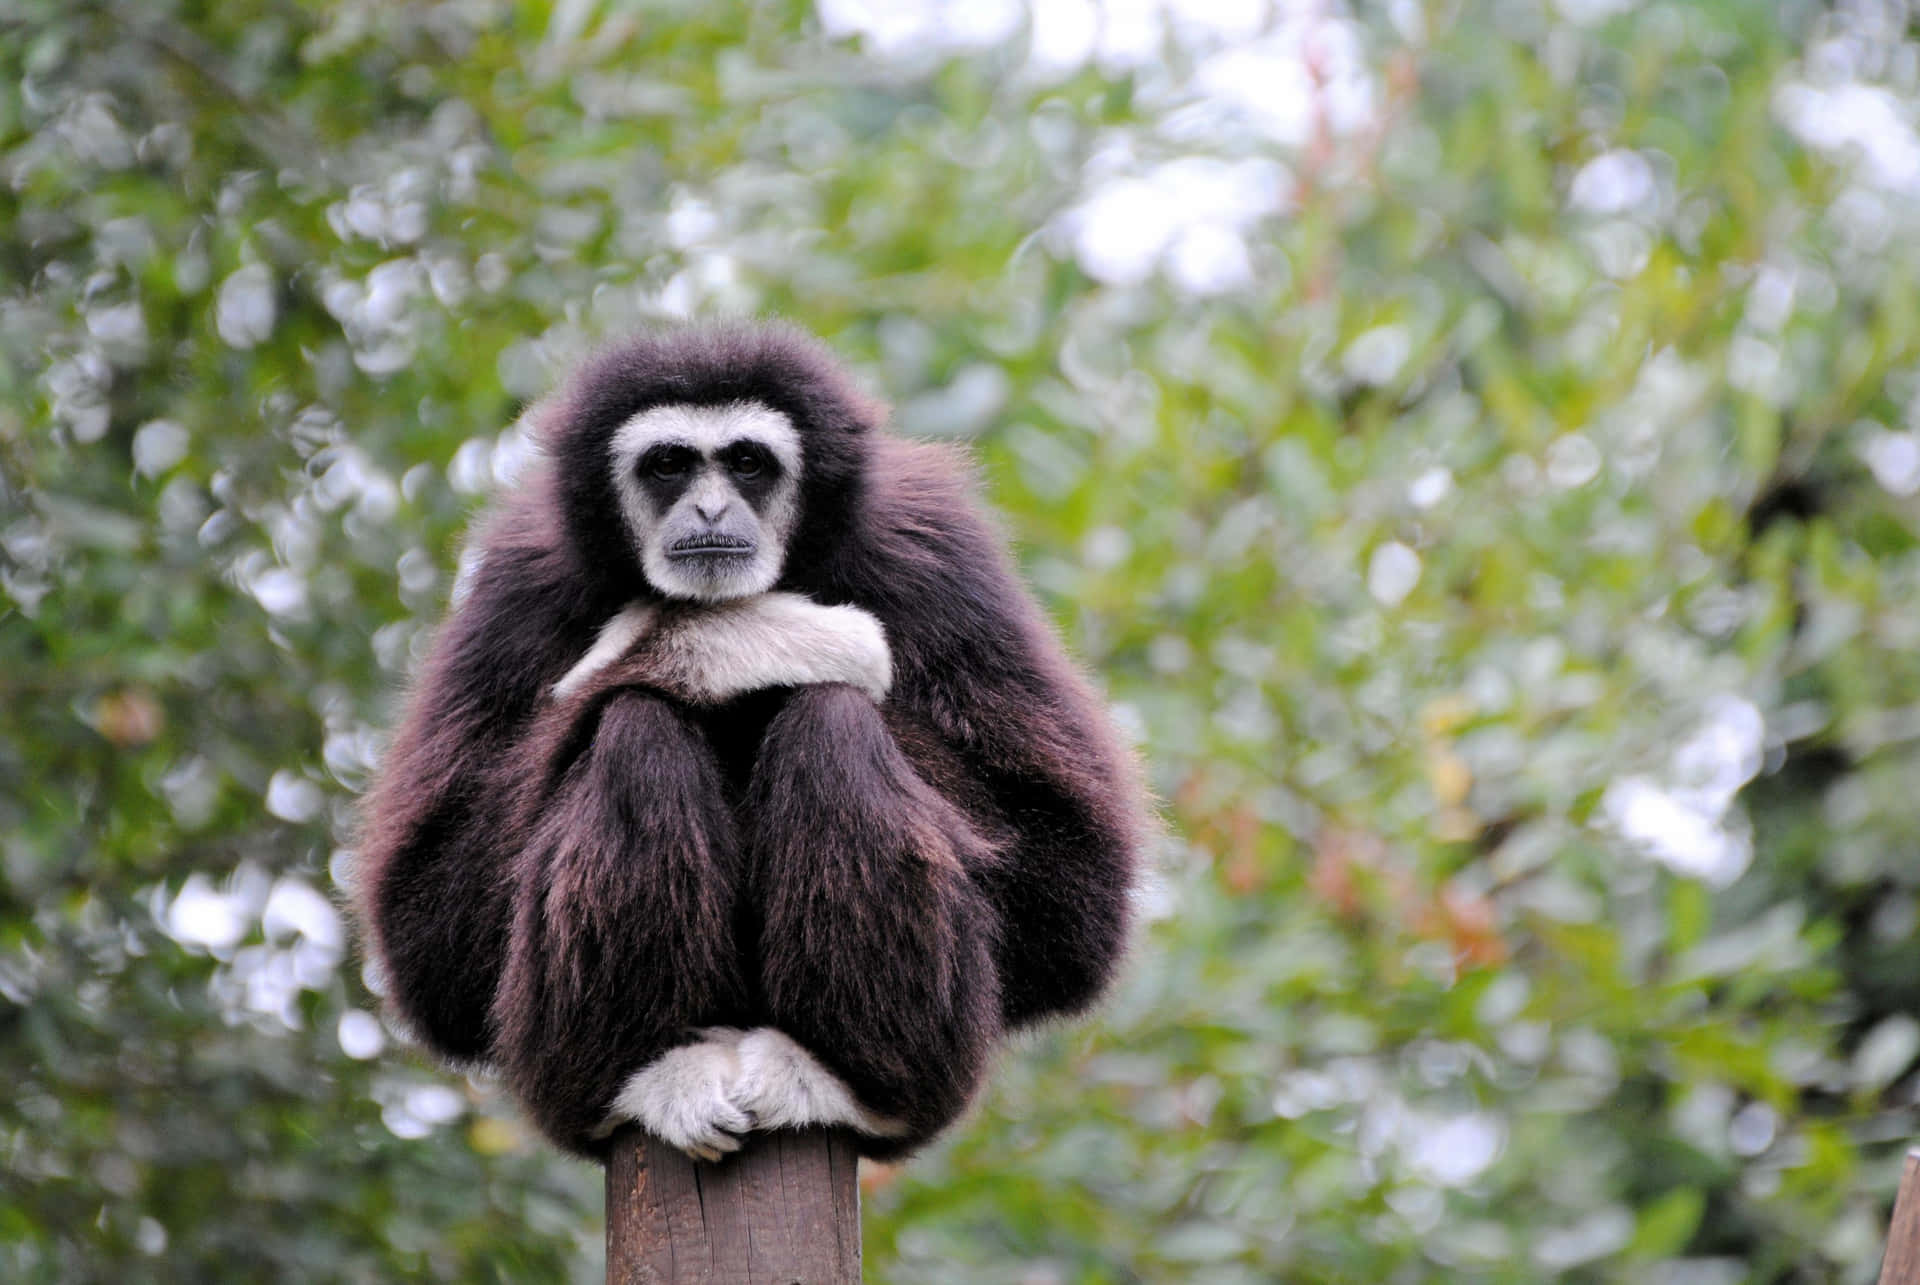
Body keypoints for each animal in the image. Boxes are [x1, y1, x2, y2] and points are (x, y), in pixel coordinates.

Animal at [354, 323, 1149, 1162]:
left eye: (746, 462)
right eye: (669, 464)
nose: (708, 507)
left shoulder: (935, 552)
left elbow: (1069, 890)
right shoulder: (518, 580)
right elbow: (432, 937)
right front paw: (733, 637)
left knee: (830, 721)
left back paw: (847, 1080)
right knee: (636, 728)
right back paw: (646, 1075)